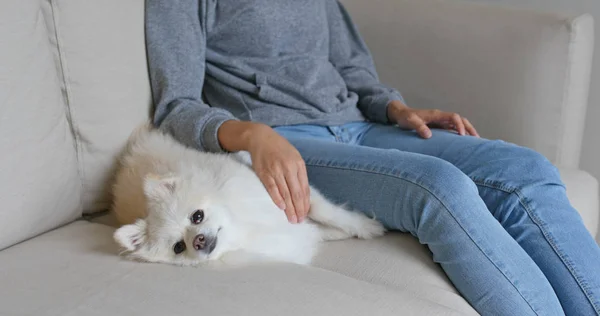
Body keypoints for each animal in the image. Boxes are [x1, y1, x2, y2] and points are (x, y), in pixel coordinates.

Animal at [112, 126, 384, 266]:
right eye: (179, 247)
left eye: (197, 216)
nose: (198, 241)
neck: (241, 224)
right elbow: (314, 229)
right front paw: (337, 233)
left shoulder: (288, 195)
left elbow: (327, 213)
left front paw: (366, 227)